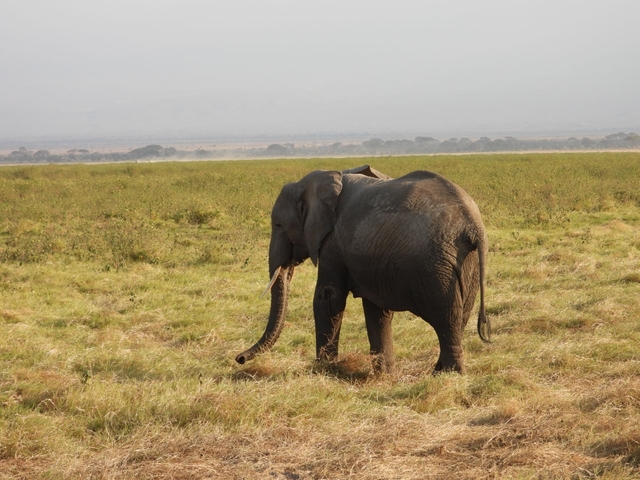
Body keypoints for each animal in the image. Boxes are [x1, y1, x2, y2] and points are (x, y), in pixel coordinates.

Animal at [235, 165, 490, 374]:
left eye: (278, 225)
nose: (239, 358)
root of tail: (473, 225)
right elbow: (376, 308)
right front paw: (384, 375)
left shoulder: (331, 242)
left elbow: (329, 296)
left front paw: (324, 369)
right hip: (465, 264)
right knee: (459, 316)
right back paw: (440, 372)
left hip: (436, 266)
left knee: (446, 317)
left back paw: (448, 375)